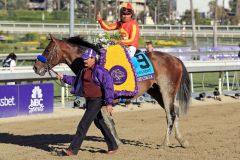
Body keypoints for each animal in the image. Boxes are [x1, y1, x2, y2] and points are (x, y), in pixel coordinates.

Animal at [33, 34, 191, 148]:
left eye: (47, 50)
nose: (35, 67)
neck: (93, 64)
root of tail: (176, 59)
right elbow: (103, 122)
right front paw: (116, 141)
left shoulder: (103, 100)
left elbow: (107, 121)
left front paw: (116, 142)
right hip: (156, 91)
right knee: (175, 111)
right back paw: (182, 140)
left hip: (167, 90)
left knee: (170, 114)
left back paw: (165, 143)